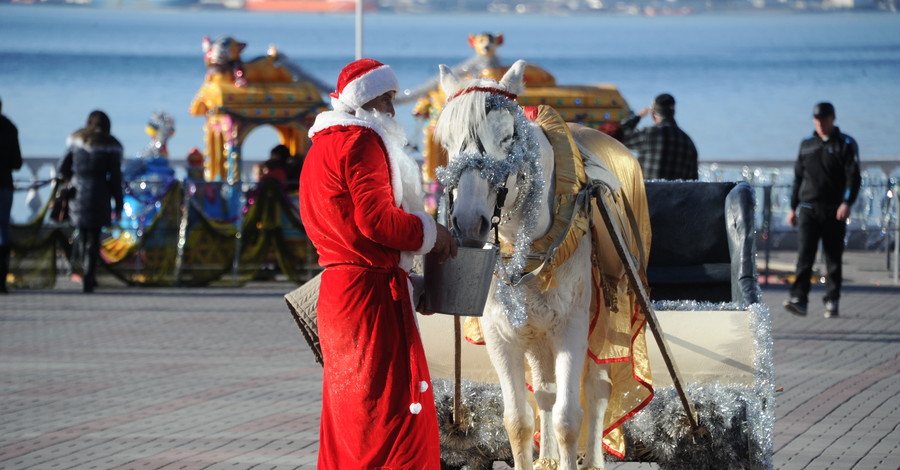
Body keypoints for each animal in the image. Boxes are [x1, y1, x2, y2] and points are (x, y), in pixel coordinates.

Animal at [434, 61, 652, 470]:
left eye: (508, 137)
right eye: (448, 141)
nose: (469, 221)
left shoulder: (572, 326)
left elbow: (570, 418)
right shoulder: (502, 334)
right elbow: (518, 420)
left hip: (606, 312)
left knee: (596, 390)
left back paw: (593, 459)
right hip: (537, 334)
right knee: (546, 391)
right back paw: (547, 457)